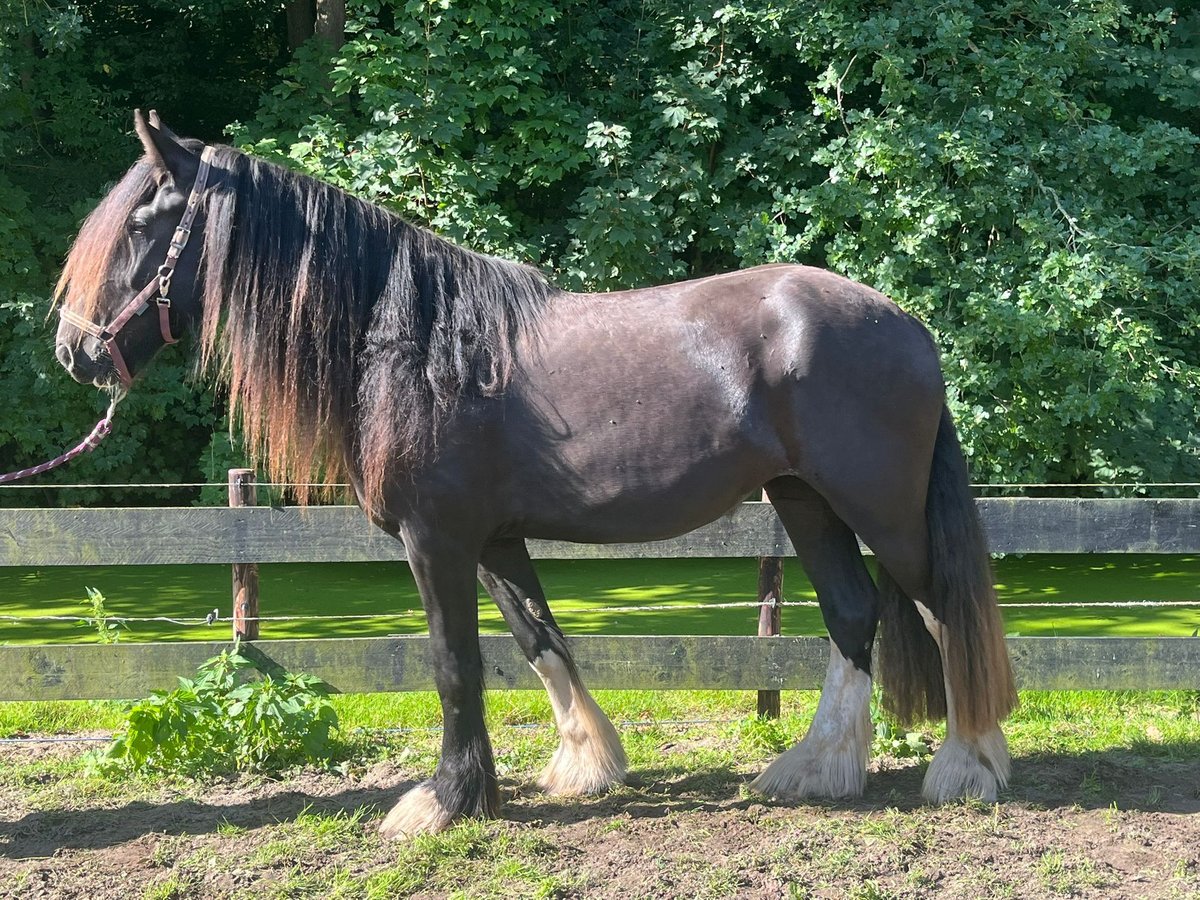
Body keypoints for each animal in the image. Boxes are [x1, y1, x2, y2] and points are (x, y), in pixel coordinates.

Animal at [53, 111, 1017, 837]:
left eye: (141, 223)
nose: (72, 350)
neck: (413, 343)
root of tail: (907, 324)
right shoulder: (495, 541)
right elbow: (539, 640)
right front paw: (586, 764)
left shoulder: (436, 540)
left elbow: (455, 664)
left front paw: (444, 802)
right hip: (807, 501)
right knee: (855, 616)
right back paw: (815, 770)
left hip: (882, 511)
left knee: (948, 611)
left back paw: (968, 763)